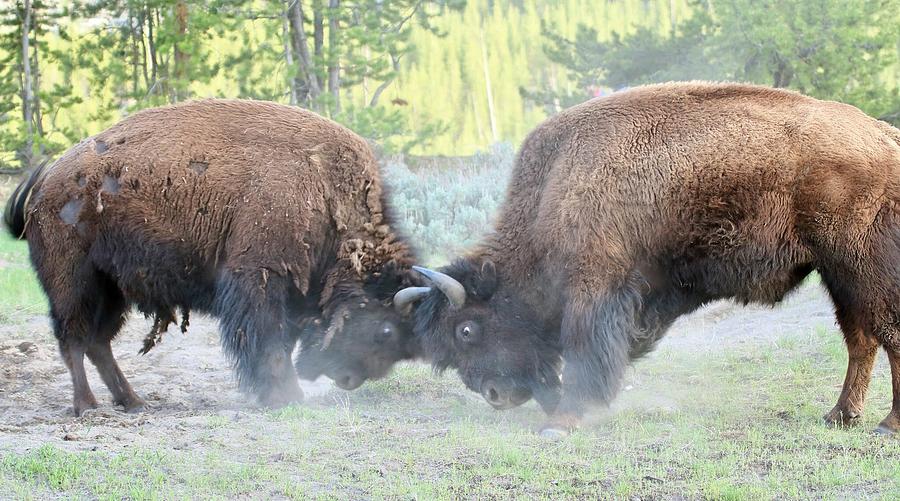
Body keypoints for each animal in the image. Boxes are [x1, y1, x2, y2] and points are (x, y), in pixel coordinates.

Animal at [2, 98, 418, 414]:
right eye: (384, 329)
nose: (349, 379)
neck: (326, 194)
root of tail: (44, 185)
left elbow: (283, 339)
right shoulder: (259, 280)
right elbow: (268, 340)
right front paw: (284, 396)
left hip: (113, 290)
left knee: (98, 343)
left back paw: (133, 402)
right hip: (74, 282)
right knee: (73, 338)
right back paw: (87, 406)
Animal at [398, 80, 900, 436]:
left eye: (466, 330)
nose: (495, 394)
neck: (551, 192)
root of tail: (885, 137)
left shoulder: (595, 287)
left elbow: (585, 352)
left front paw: (561, 423)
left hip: (861, 266)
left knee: (886, 333)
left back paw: (885, 425)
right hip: (837, 274)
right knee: (860, 340)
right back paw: (840, 416)